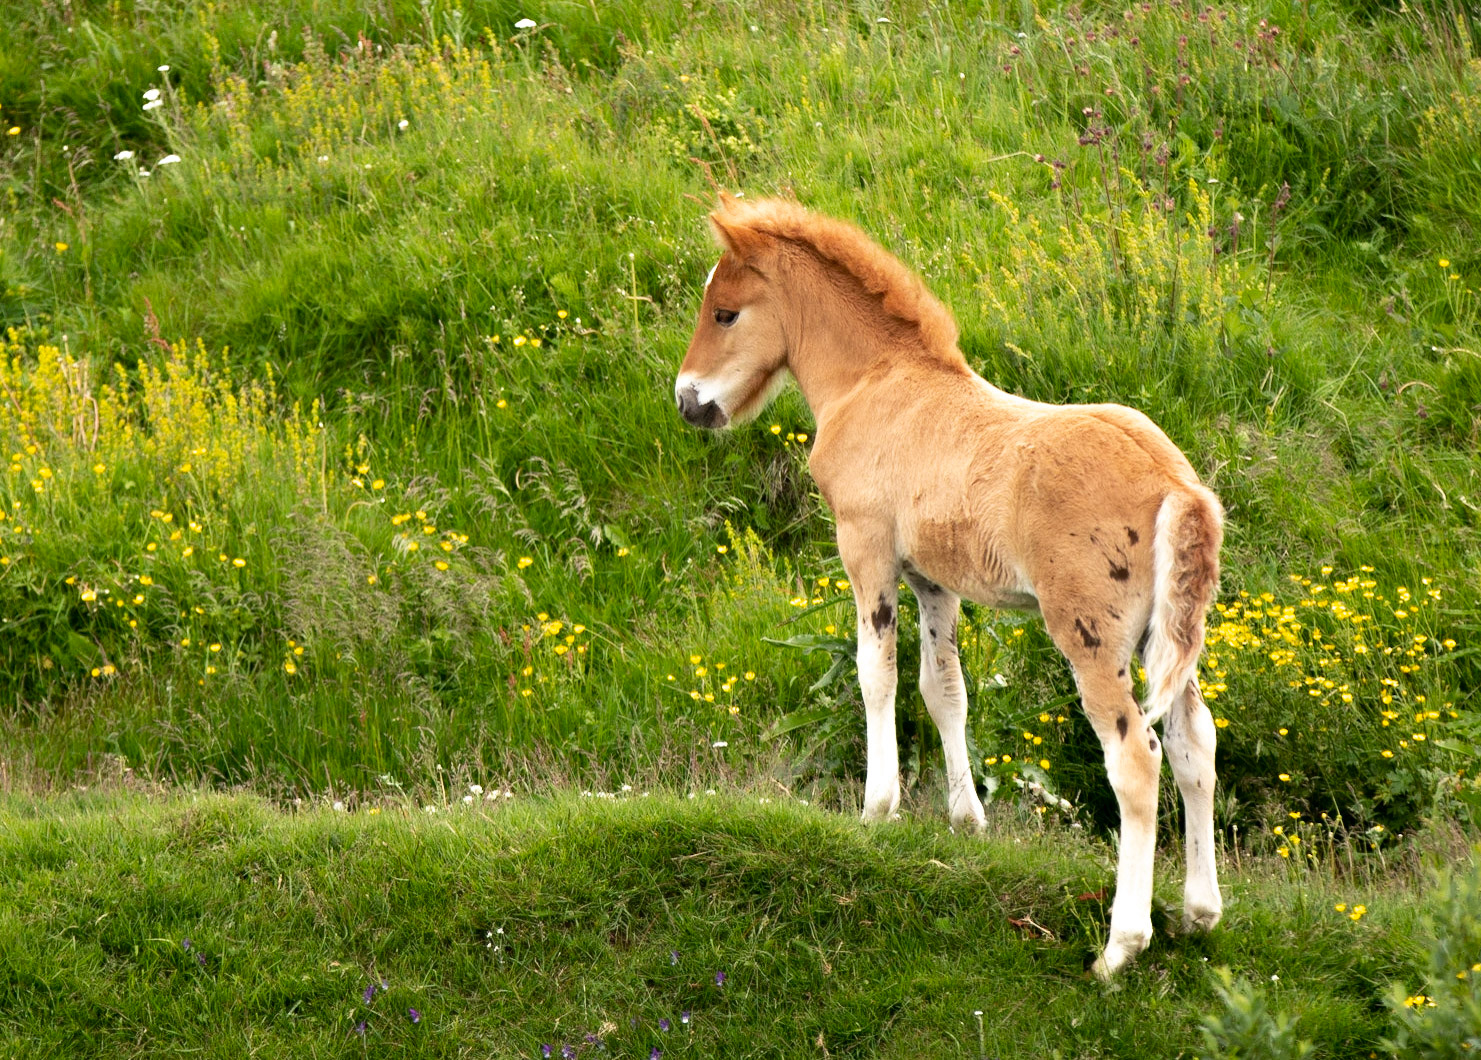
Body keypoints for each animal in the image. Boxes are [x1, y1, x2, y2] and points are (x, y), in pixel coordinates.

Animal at [673, 195, 1224, 978]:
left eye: (724, 312)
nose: (688, 401)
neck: (875, 381)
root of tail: (1176, 484)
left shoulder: (865, 548)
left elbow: (876, 673)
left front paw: (878, 808)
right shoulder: (934, 581)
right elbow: (944, 691)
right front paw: (967, 820)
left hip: (1090, 637)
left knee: (1135, 762)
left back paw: (1121, 947)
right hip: (1165, 639)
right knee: (1193, 744)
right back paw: (1199, 913)